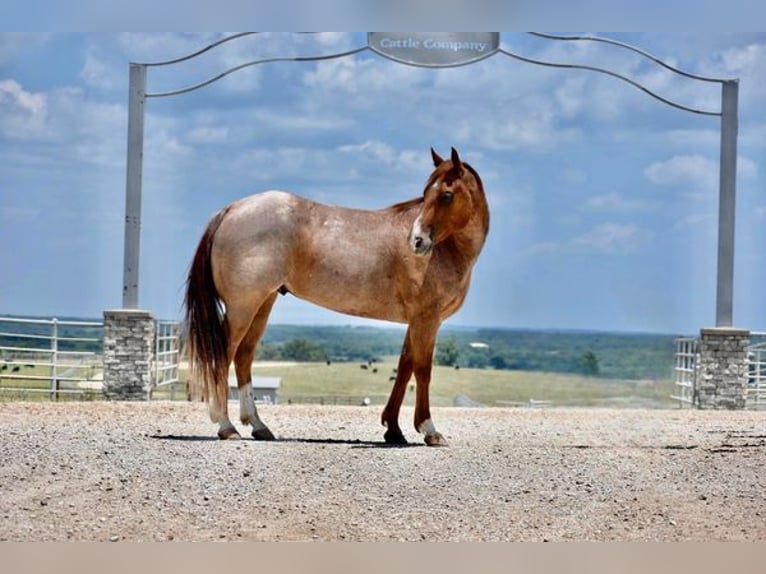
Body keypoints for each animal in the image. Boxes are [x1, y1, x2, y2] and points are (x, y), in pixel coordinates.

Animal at [183, 146, 488, 448]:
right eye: (426, 193)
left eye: (446, 194)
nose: (417, 242)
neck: (448, 249)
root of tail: (231, 209)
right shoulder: (427, 319)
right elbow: (423, 370)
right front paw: (429, 430)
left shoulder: (416, 321)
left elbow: (404, 368)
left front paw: (393, 430)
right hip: (242, 307)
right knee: (224, 355)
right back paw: (226, 426)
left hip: (262, 303)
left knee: (244, 356)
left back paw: (258, 426)